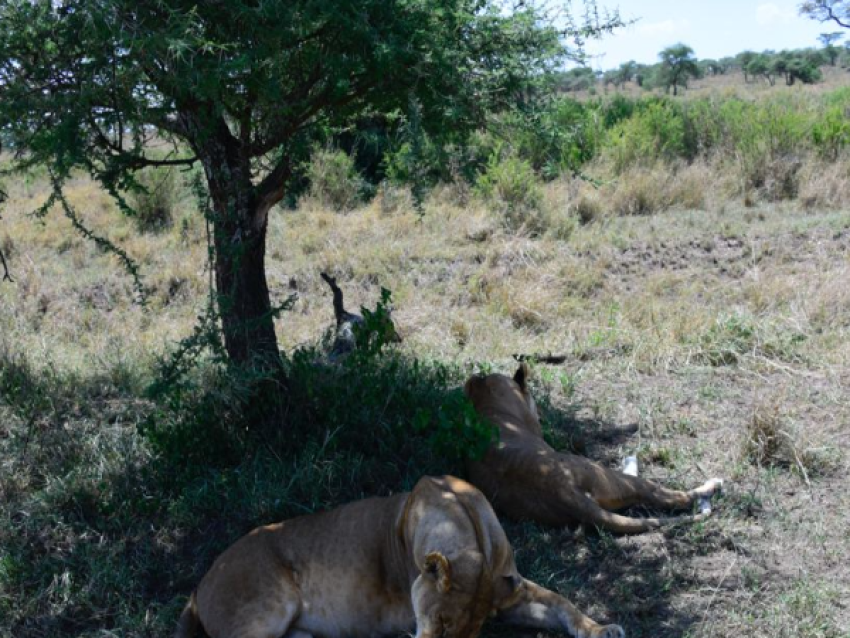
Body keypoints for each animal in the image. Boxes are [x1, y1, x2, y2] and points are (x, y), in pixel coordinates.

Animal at [175, 475, 624, 638]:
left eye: (470, 635)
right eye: (439, 623)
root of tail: (199, 585)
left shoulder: (510, 591)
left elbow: (561, 603)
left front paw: (601, 629)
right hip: (264, 611)